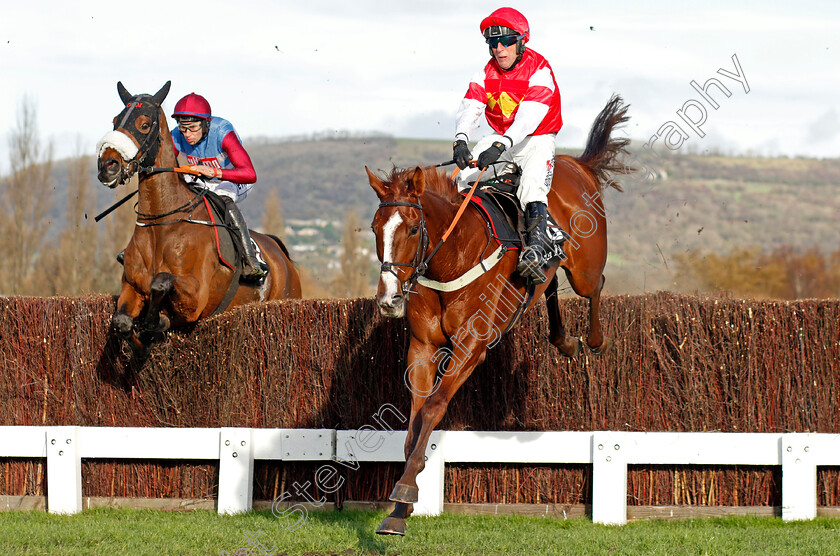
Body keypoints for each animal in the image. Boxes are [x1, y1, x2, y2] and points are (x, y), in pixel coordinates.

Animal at [97, 81, 300, 352]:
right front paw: (143, 341)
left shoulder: (195, 297)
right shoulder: (131, 287)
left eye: (145, 124)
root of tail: (279, 252)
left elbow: (161, 281)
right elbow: (121, 322)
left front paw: (156, 322)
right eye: (115, 121)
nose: (107, 165)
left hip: (288, 298)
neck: (160, 224)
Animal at [368, 94, 632, 536]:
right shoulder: (422, 347)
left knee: (593, 286)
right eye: (375, 228)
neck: (452, 258)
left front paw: (404, 491)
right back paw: (563, 339)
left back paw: (593, 341)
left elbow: (434, 407)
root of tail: (576, 163)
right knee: (548, 287)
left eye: (412, 229)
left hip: (586, 264)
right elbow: (415, 420)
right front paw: (400, 508)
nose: (388, 299)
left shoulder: (471, 347)